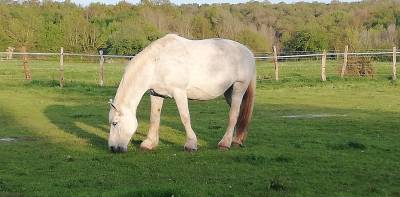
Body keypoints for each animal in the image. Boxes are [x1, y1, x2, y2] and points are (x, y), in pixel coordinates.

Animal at [108, 34, 255, 153]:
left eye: (115, 123)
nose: (113, 148)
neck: (157, 63)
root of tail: (248, 52)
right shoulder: (156, 94)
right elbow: (154, 117)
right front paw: (149, 143)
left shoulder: (179, 92)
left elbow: (185, 117)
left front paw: (191, 144)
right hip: (229, 92)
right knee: (239, 113)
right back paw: (236, 140)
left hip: (238, 88)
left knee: (233, 115)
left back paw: (225, 143)